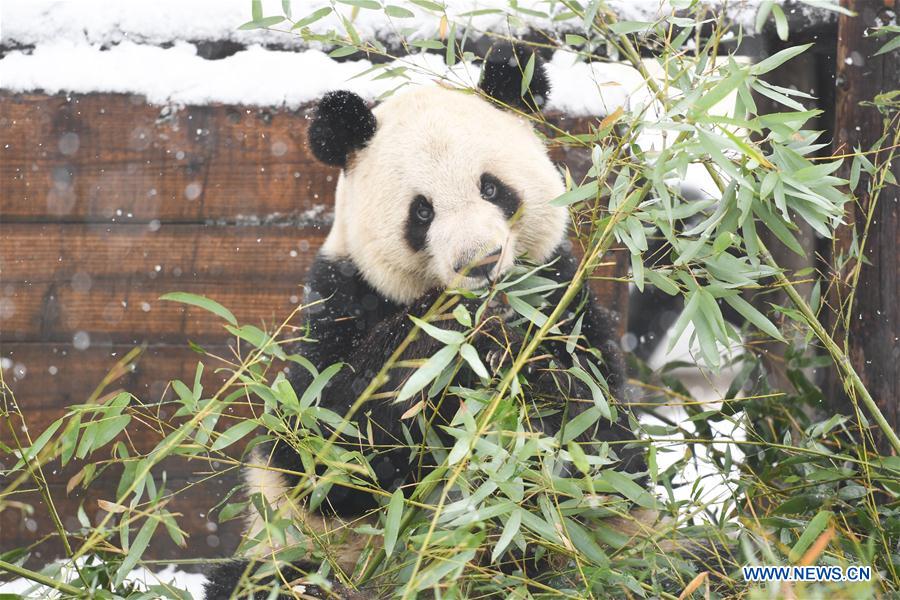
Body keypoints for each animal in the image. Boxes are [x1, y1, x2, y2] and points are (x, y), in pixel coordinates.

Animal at [204, 44, 646, 600]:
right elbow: (322, 448)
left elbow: (602, 438)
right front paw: (460, 333)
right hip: (297, 552)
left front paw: (521, 369)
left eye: (491, 188)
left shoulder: (560, 293)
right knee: (262, 579)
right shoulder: (339, 300)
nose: (480, 263)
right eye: (421, 212)